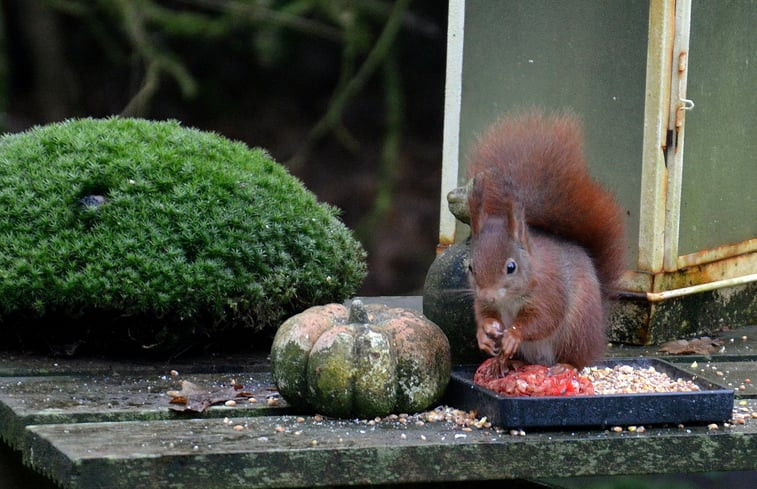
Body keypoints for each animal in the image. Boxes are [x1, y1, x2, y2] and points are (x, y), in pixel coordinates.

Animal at [466, 110, 628, 370]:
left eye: (511, 267)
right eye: (471, 267)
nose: (488, 295)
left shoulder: (549, 293)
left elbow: (543, 320)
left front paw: (513, 334)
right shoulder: (483, 302)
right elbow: (483, 315)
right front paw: (484, 333)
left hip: (577, 329)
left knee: (577, 357)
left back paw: (565, 366)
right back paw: (505, 363)